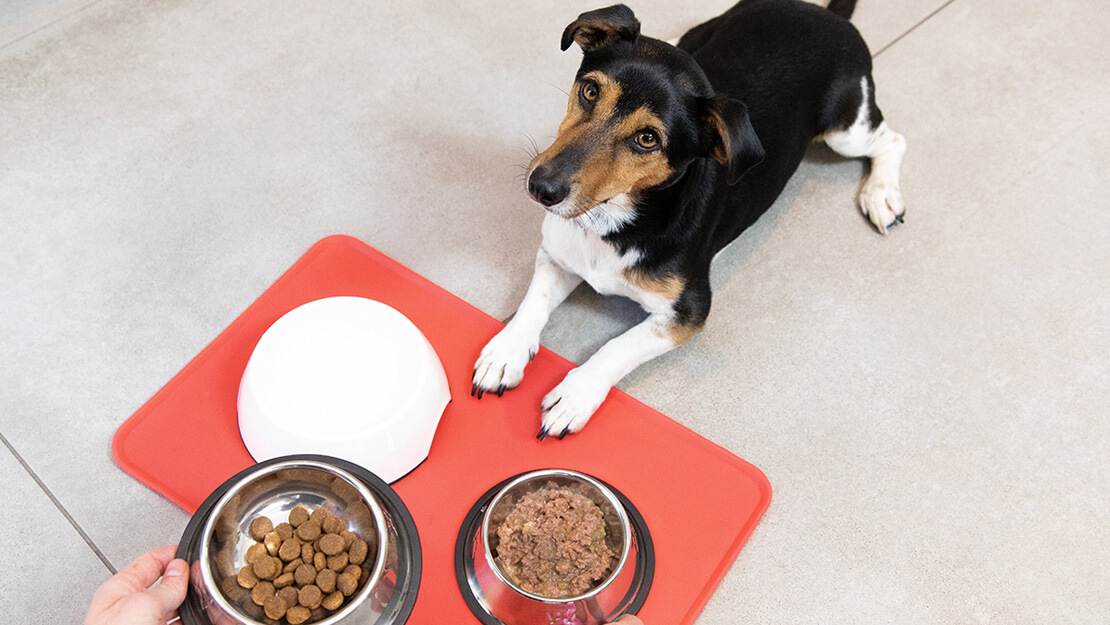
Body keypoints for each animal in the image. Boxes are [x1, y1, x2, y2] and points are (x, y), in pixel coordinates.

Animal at [468, 1, 901, 439]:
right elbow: (533, 303)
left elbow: (618, 347)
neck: (612, 219)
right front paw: (506, 351)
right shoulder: (557, 255)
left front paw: (575, 395)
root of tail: (825, 13)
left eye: (648, 139)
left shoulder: (688, 312)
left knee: (891, 140)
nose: (541, 187)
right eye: (590, 91)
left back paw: (881, 194)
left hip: (846, 130)